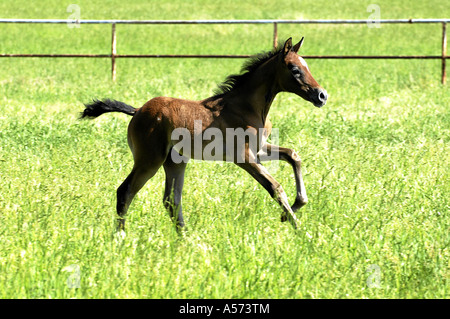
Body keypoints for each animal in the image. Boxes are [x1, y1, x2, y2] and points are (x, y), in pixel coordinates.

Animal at [81, 37, 326, 232]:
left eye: (307, 66)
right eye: (294, 69)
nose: (322, 95)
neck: (247, 106)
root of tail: (138, 110)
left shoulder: (260, 149)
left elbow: (293, 155)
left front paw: (296, 206)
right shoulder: (243, 157)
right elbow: (275, 187)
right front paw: (299, 230)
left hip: (175, 161)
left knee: (171, 200)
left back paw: (185, 239)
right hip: (149, 160)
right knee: (126, 191)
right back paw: (120, 236)